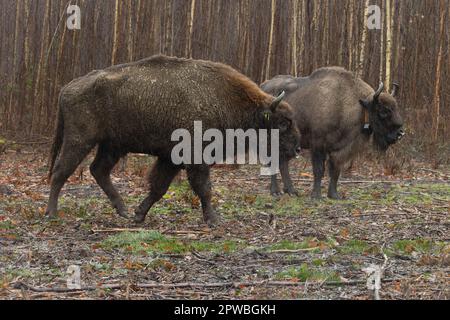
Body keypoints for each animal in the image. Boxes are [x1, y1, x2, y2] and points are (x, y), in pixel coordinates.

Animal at [45, 55, 300, 225]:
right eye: (282, 123)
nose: (296, 149)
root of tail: (67, 88)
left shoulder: (171, 159)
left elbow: (159, 187)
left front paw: (139, 215)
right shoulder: (195, 158)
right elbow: (203, 188)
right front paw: (214, 219)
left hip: (112, 146)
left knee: (98, 170)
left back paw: (123, 210)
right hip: (80, 140)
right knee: (61, 172)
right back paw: (51, 213)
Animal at [260, 66, 404, 199]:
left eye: (396, 107)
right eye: (383, 111)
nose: (400, 133)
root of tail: (263, 86)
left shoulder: (341, 149)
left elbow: (335, 170)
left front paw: (334, 195)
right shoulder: (318, 145)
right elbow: (319, 170)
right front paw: (316, 196)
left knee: (282, 163)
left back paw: (291, 191)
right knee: (273, 162)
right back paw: (275, 191)